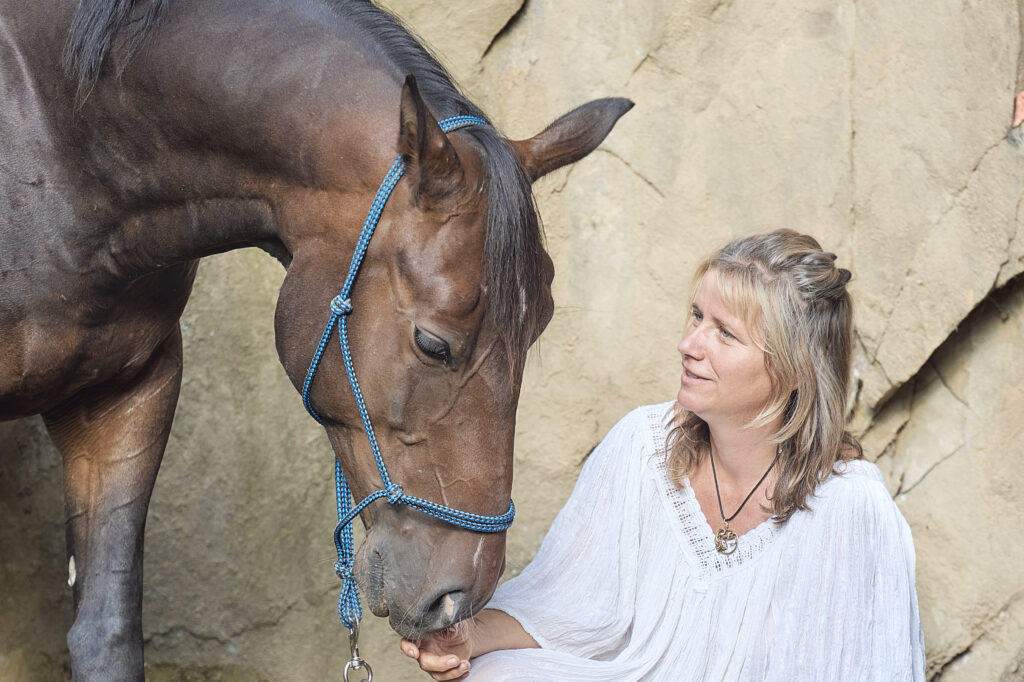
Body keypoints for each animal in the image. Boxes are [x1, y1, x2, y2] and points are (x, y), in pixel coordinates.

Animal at [0, 0, 630, 675]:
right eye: (432, 344)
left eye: (539, 329)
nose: (457, 599)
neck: (62, 143)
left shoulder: (125, 395)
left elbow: (107, 633)